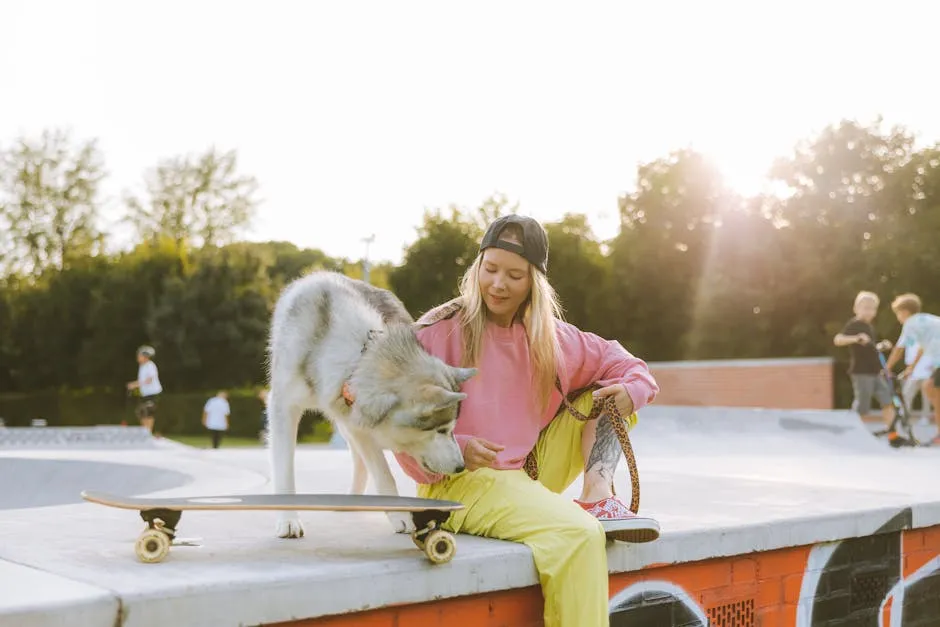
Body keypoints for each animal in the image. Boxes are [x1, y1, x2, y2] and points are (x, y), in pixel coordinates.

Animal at [264, 272, 474, 540]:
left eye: (451, 429)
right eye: (441, 430)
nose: (461, 466)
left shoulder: (361, 420)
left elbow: (383, 472)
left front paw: (399, 515)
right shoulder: (283, 407)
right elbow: (284, 469)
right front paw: (288, 519)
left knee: (361, 460)